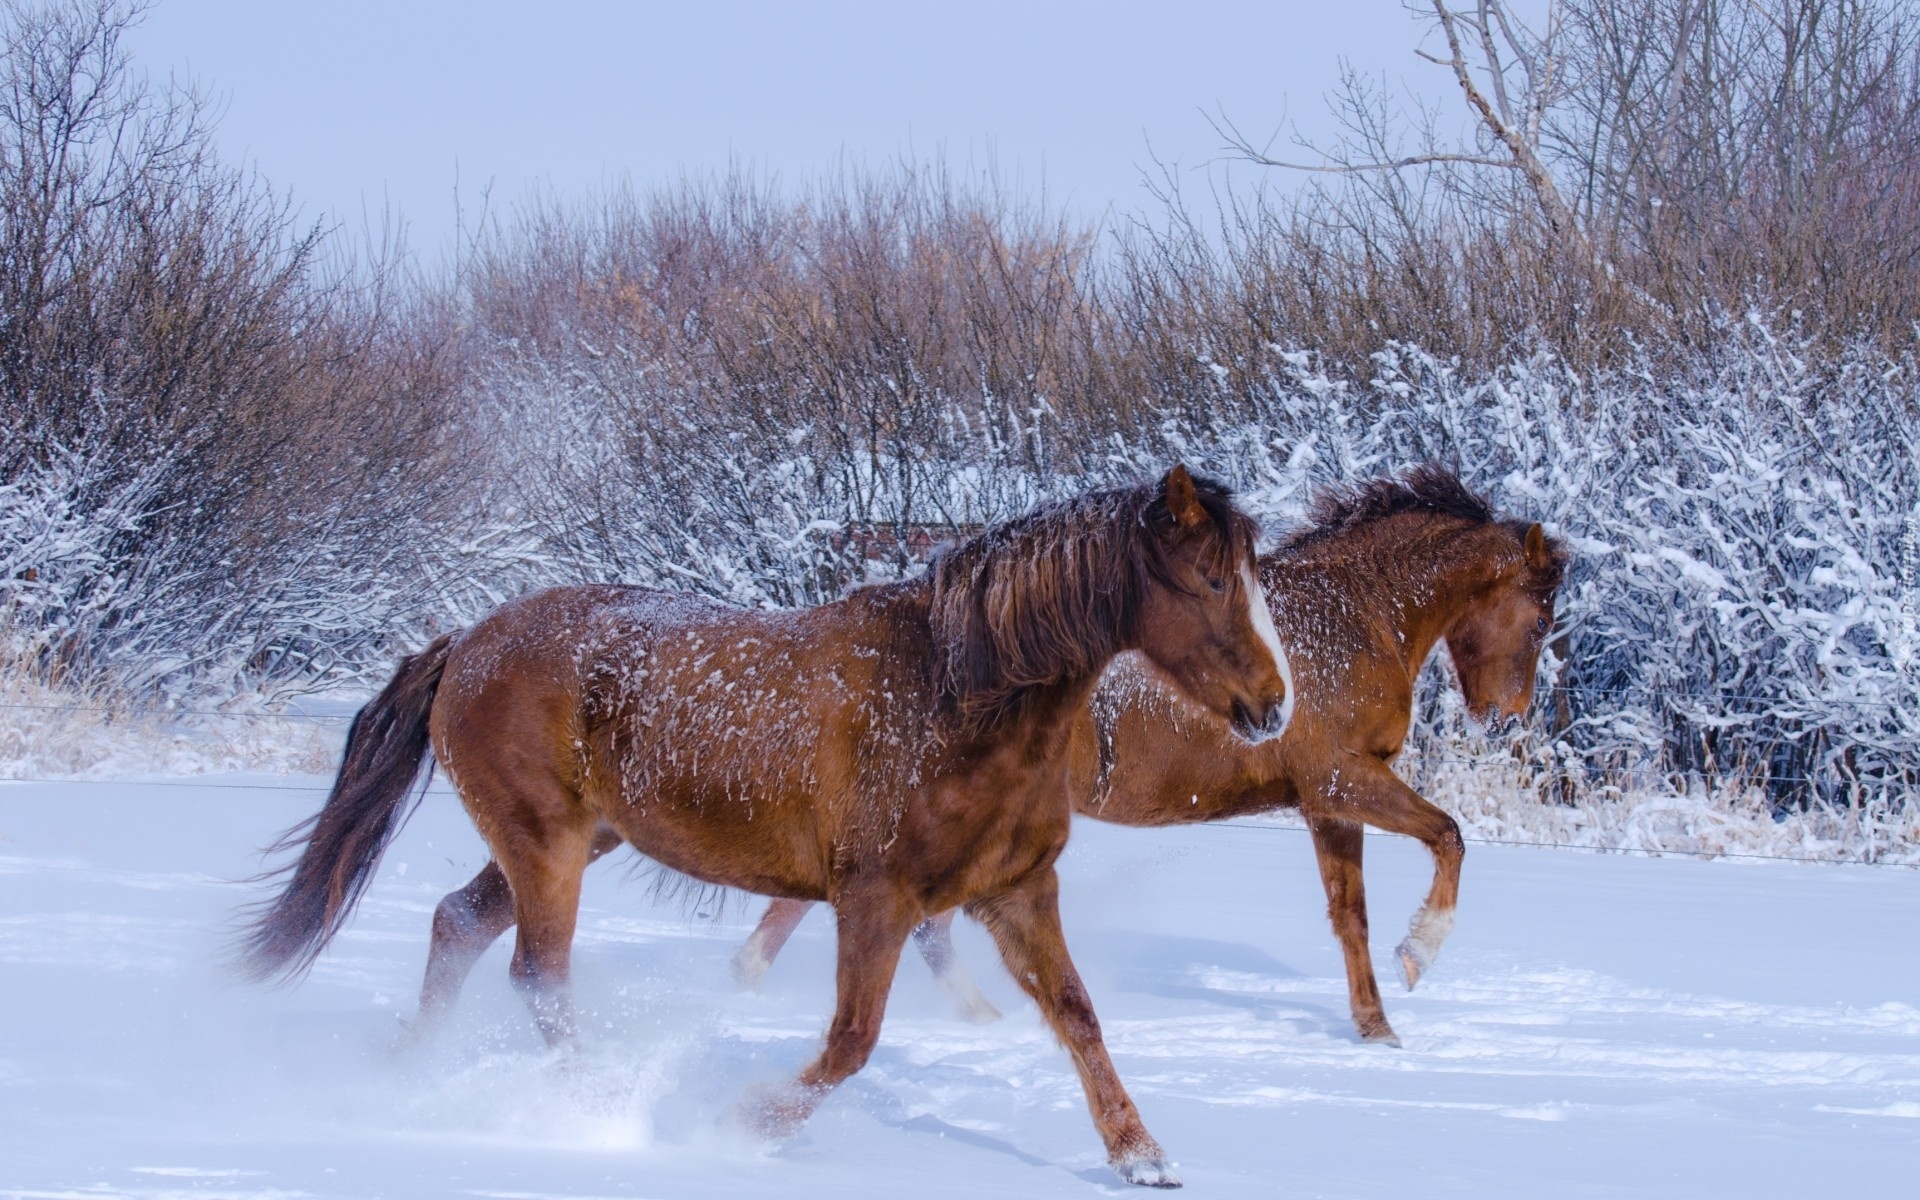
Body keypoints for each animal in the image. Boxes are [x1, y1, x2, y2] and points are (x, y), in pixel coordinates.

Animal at [240, 462, 1290, 1182]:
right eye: (1209, 582)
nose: (1273, 706)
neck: (954, 697)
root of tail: (465, 642)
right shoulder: (876, 900)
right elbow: (852, 1041)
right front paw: (744, 1124)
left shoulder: (1016, 894)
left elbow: (1078, 1016)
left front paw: (1141, 1156)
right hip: (545, 847)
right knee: (537, 976)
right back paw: (593, 1107)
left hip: (566, 843)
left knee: (458, 926)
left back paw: (409, 1072)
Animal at [729, 462, 1559, 1044]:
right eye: (1540, 614)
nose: (1505, 716)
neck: (1354, 617)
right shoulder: (1343, 780)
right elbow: (1448, 836)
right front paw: (1418, 954)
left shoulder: (1326, 807)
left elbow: (1350, 915)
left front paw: (1377, 1028)